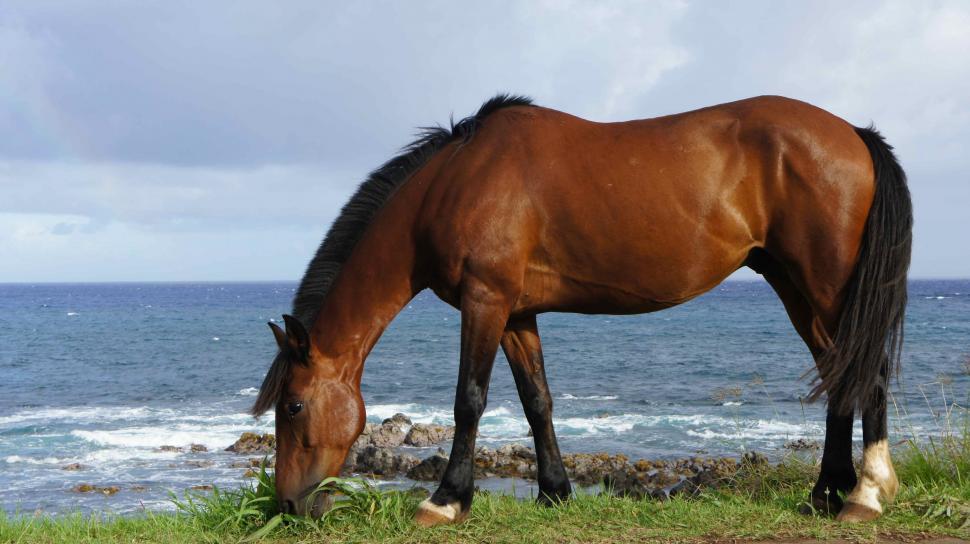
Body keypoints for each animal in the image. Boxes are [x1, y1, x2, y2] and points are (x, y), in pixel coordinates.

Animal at [251, 94, 912, 525]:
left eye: (293, 404)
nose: (289, 505)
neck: (455, 182)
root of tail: (854, 133)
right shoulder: (514, 313)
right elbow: (536, 400)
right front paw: (554, 493)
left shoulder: (485, 301)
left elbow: (470, 399)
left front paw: (445, 501)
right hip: (794, 285)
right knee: (838, 374)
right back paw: (825, 493)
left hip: (826, 285)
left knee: (869, 374)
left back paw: (864, 496)